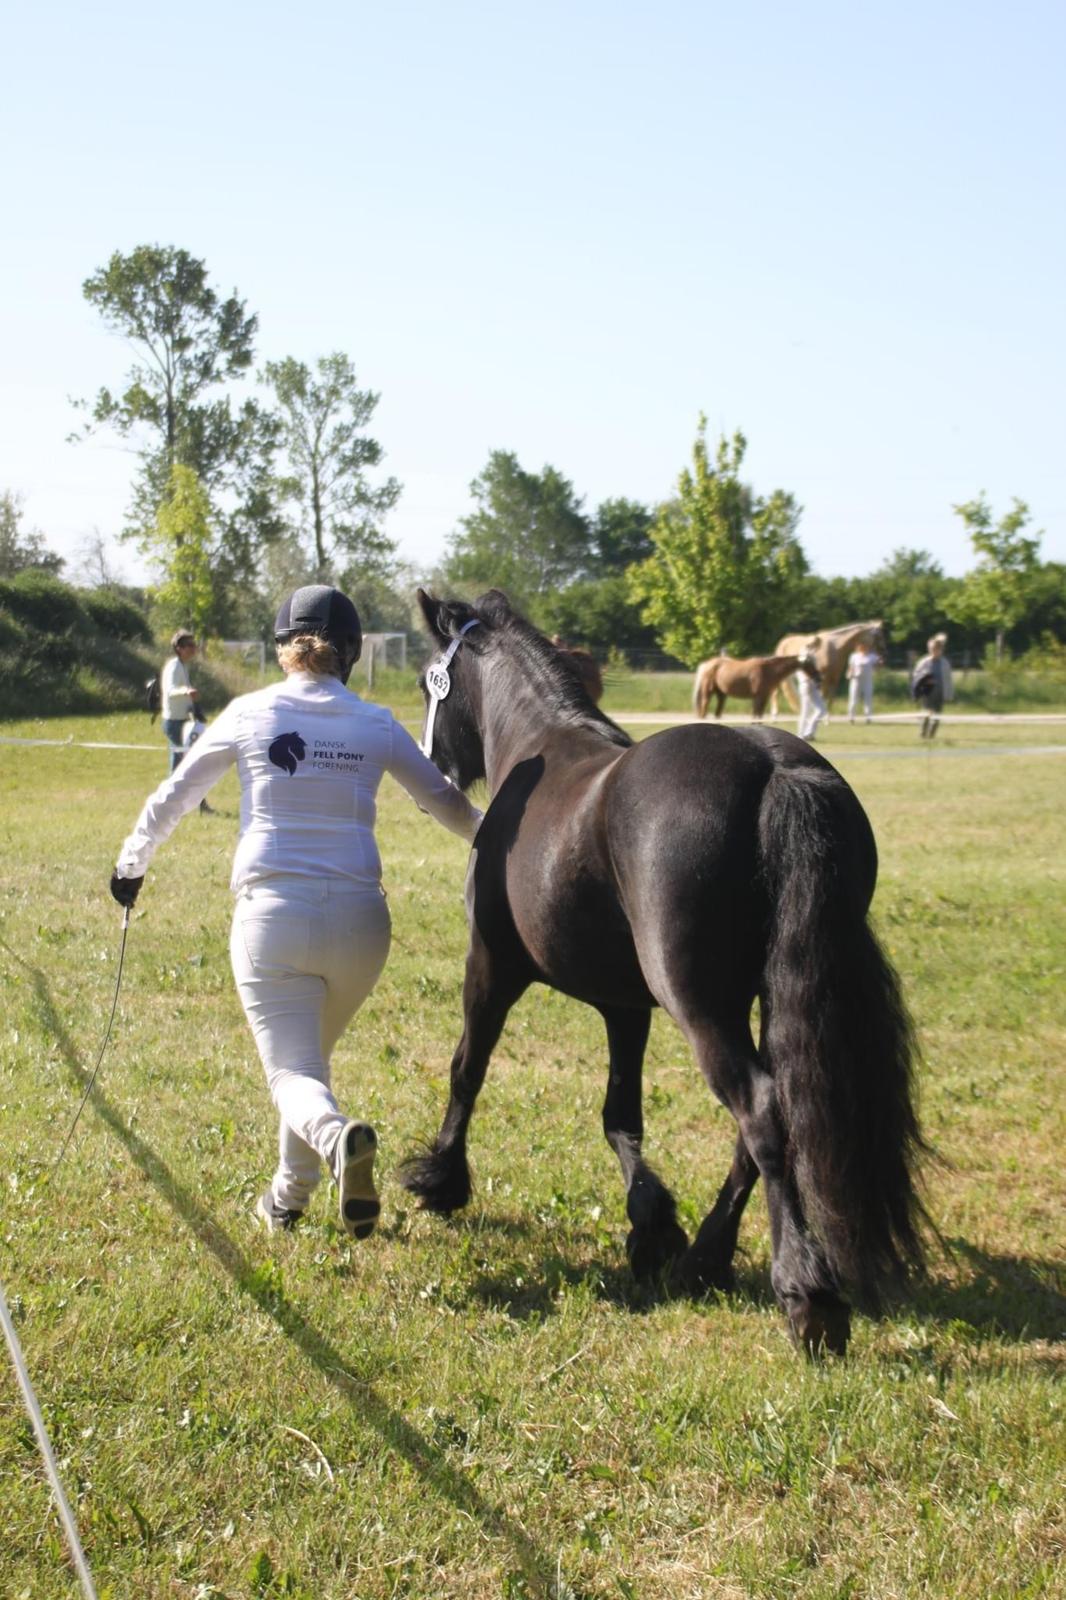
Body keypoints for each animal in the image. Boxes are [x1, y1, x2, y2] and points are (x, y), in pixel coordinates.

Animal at [400, 589, 928, 1356]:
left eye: (425, 684)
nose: (432, 767)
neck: (542, 748)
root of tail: (774, 769)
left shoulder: (492, 965)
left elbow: (467, 1068)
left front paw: (440, 1177)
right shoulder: (625, 1005)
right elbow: (621, 1115)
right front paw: (650, 1225)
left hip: (699, 1004)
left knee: (761, 1108)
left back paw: (806, 1294)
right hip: (771, 995)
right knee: (770, 1115)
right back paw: (705, 1257)